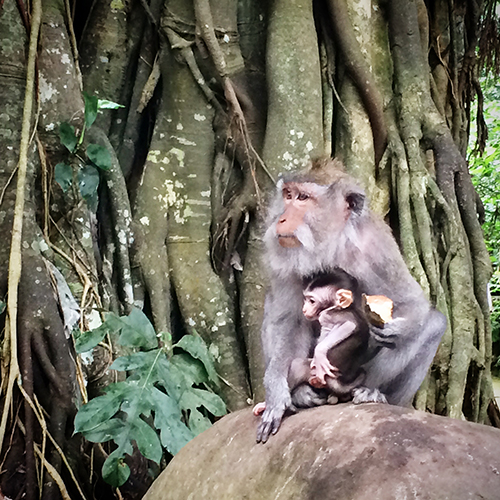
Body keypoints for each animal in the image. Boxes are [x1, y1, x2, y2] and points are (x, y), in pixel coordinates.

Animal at [256, 157, 447, 443]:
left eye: (303, 198)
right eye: (288, 195)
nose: (281, 218)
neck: (331, 245)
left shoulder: (376, 249)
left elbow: (414, 304)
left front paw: (398, 329)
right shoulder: (287, 259)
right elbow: (287, 320)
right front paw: (277, 390)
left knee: (434, 324)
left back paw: (374, 393)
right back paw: (301, 393)